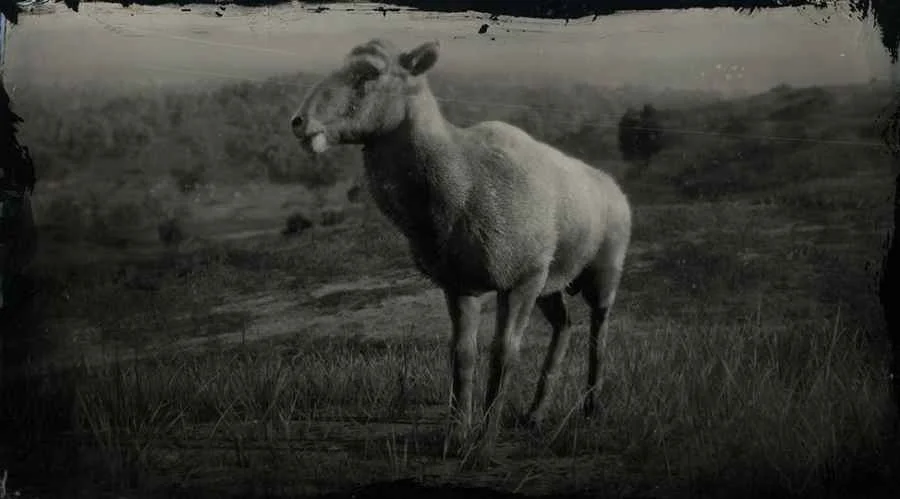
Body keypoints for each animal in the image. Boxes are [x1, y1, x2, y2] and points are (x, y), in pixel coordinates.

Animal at [289, 38, 632, 464]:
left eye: (369, 73)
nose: (299, 122)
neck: (462, 179)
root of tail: (613, 187)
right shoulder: (460, 285)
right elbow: (462, 355)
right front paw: (455, 439)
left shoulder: (519, 280)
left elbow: (504, 353)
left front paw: (484, 445)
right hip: (551, 285)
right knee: (564, 326)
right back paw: (534, 414)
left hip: (603, 273)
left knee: (599, 333)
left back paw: (591, 408)